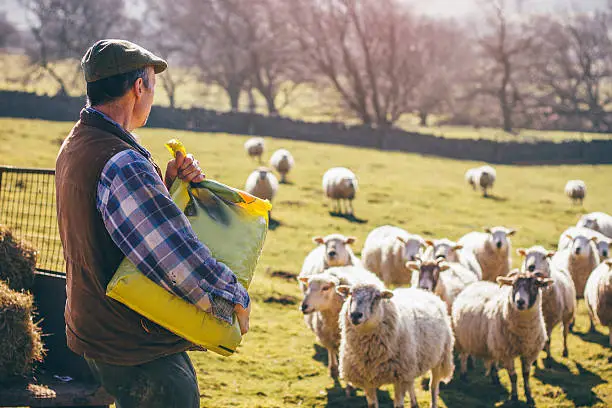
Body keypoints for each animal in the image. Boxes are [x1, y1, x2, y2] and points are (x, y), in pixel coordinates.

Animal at [452, 270, 552, 404]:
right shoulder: (507, 353)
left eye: (535, 285)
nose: (520, 302)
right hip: (464, 338)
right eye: (513, 285)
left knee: (493, 359)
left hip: (493, 343)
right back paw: (464, 375)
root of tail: (477, 283)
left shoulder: (528, 352)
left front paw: (529, 396)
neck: (524, 333)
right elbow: (513, 376)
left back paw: (495, 379)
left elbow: (526, 375)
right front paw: (514, 397)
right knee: (463, 356)